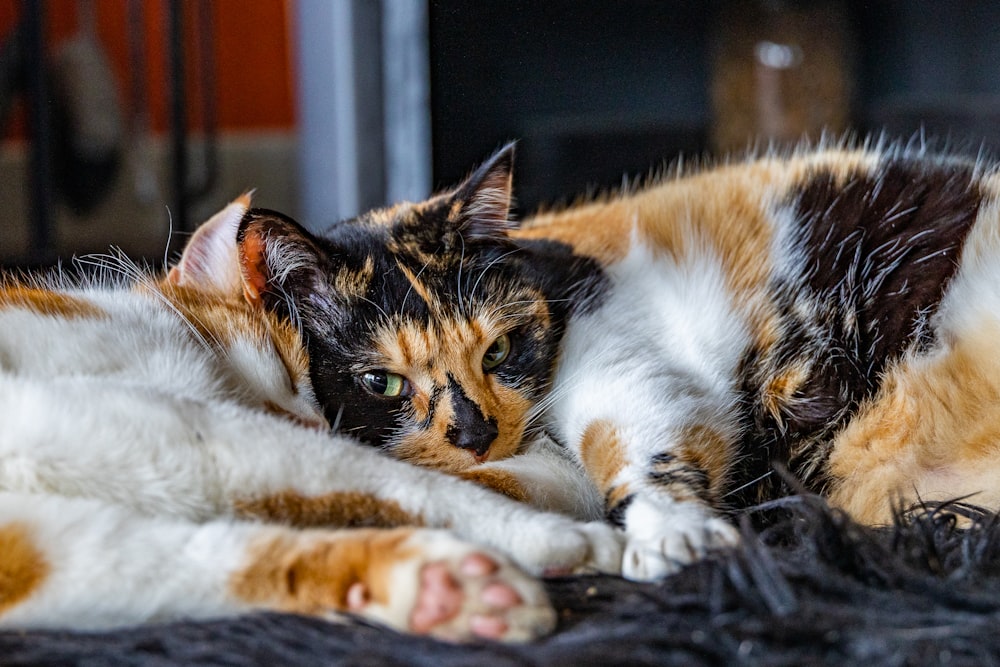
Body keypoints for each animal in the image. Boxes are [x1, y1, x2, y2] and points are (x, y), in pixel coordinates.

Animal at [250, 140, 1000, 580]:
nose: (474, 432)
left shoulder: (625, 360)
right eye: (381, 382)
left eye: (500, 348)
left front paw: (674, 534)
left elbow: (633, 437)